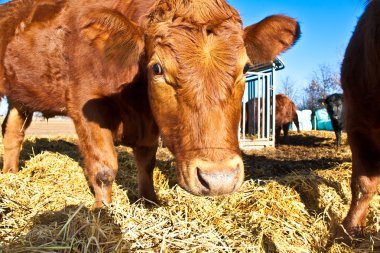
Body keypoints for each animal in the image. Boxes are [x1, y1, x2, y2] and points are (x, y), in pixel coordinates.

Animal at [0, 0, 300, 208]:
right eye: (157, 68)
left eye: (245, 68)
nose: (219, 179)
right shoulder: (86, 107)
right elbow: (104, 168)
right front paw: (103, 211)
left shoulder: (149, 123)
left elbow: (146, 162)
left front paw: (150, 201)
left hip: (20, 99)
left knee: (13, 133)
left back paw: (11, 174)